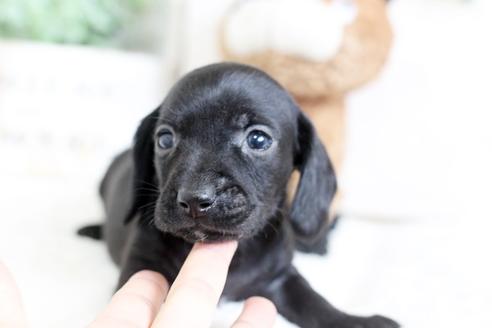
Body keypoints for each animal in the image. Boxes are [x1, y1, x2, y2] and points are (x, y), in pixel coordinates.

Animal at [78, 62, 400, 326]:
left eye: (257, 139)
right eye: (165, 139)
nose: (194, 198)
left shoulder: (280, 278)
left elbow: (314, 303)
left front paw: (357, 321)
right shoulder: (140, 268)